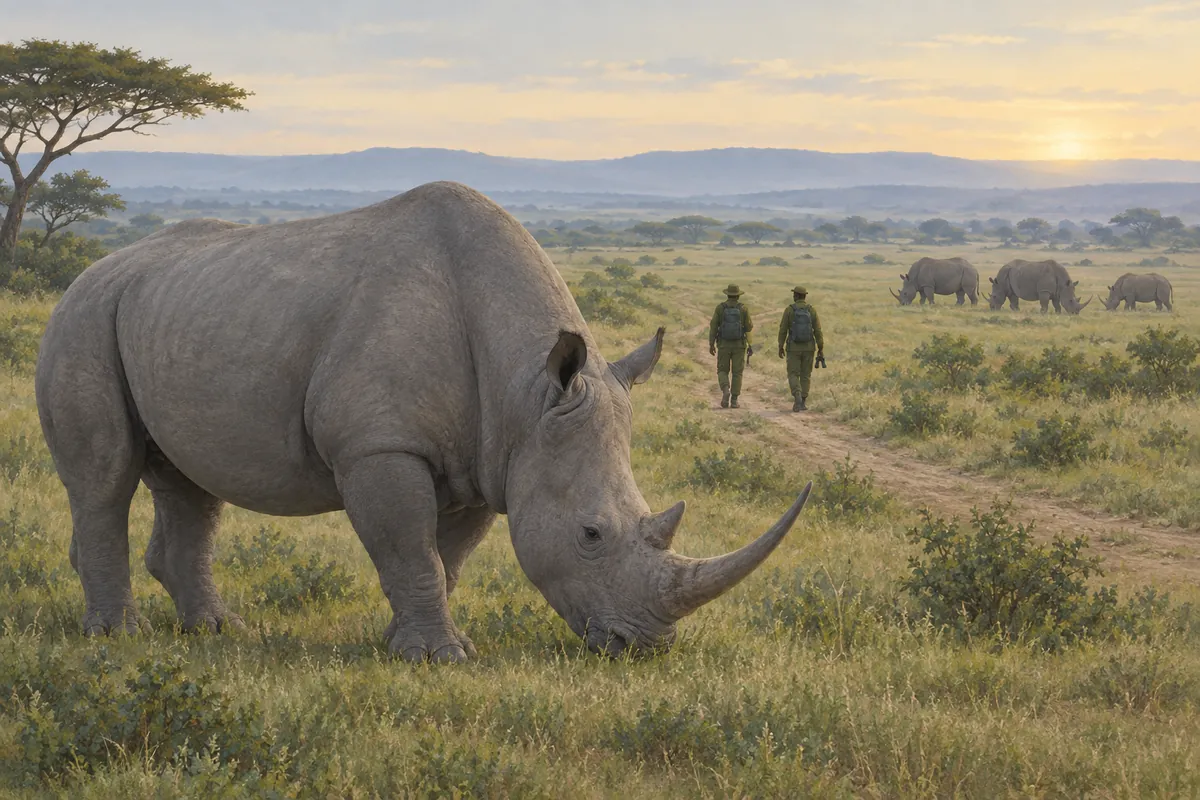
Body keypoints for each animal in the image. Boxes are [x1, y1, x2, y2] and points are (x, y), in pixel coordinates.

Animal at [35, 181, 811, 663]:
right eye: (591, 534)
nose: (642, 647)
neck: (528, 387)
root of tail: (90, 269)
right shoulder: (379, 446)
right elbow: (410, 548)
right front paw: (440, 658)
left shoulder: (491, 459)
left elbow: (445, 557)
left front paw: (408, 646)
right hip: (82, 318)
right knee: (105, 477)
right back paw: (117, 639)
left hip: (171, 312)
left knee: (191, 486)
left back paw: (217, 632)